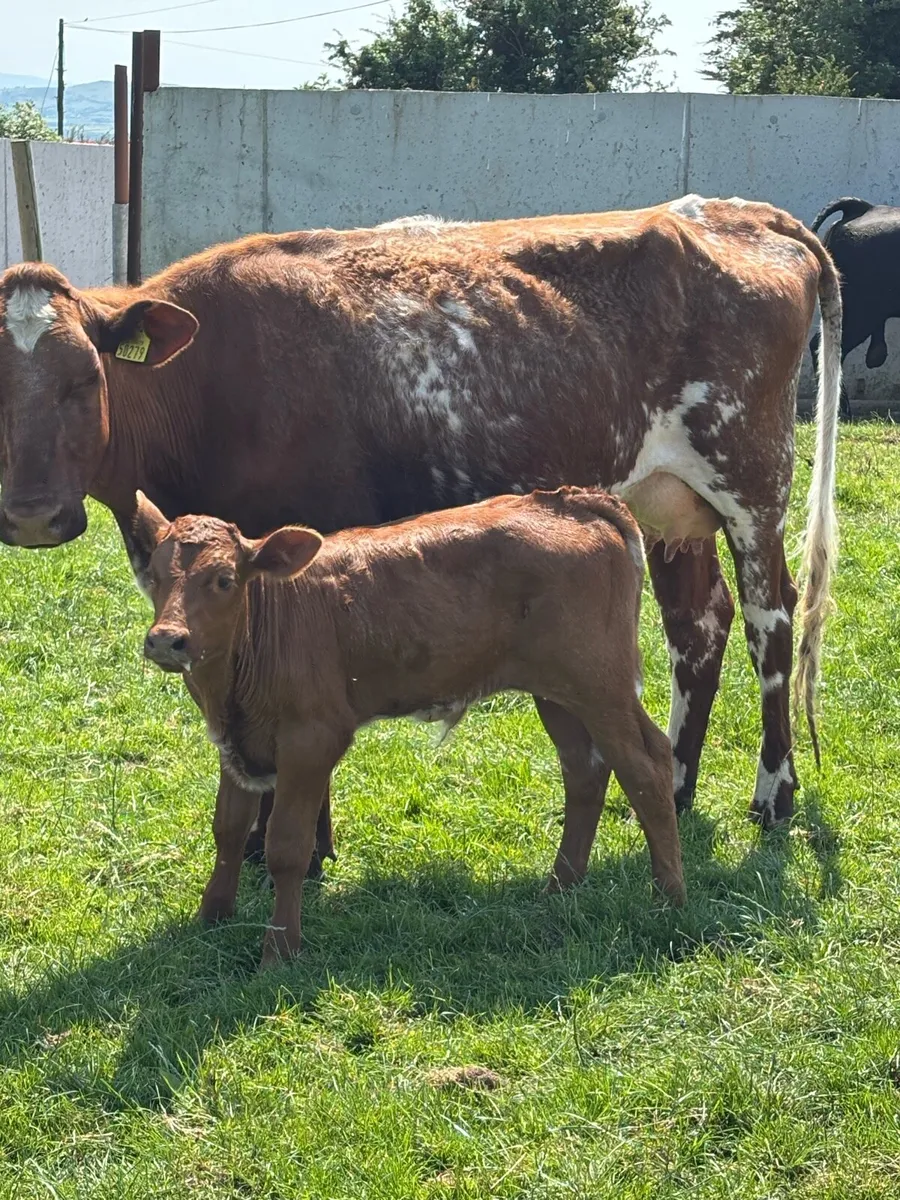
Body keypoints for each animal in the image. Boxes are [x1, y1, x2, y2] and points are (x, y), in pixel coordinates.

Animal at [0, 196, 841, 857]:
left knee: (770, 621)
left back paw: (773, 792)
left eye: (86, 381)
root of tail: (740, 211)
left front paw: (302, 846)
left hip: (753, 480)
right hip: (666, 500)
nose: (32, 515)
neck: (212, 385)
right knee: (696, 627)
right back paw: (676, 783)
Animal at [135, 486, 686, 966]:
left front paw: (279, 952)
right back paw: (561, 886)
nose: (166, 640)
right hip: (558, 692)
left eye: (224, 580)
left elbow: (286, 846)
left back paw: (669, 898)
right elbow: (228, 828)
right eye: (155, 576)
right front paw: (211, 918)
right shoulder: (236, 742)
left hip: (600, 682)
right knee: (584, 771)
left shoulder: (312, 740)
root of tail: (572, 500)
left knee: (646, 766)